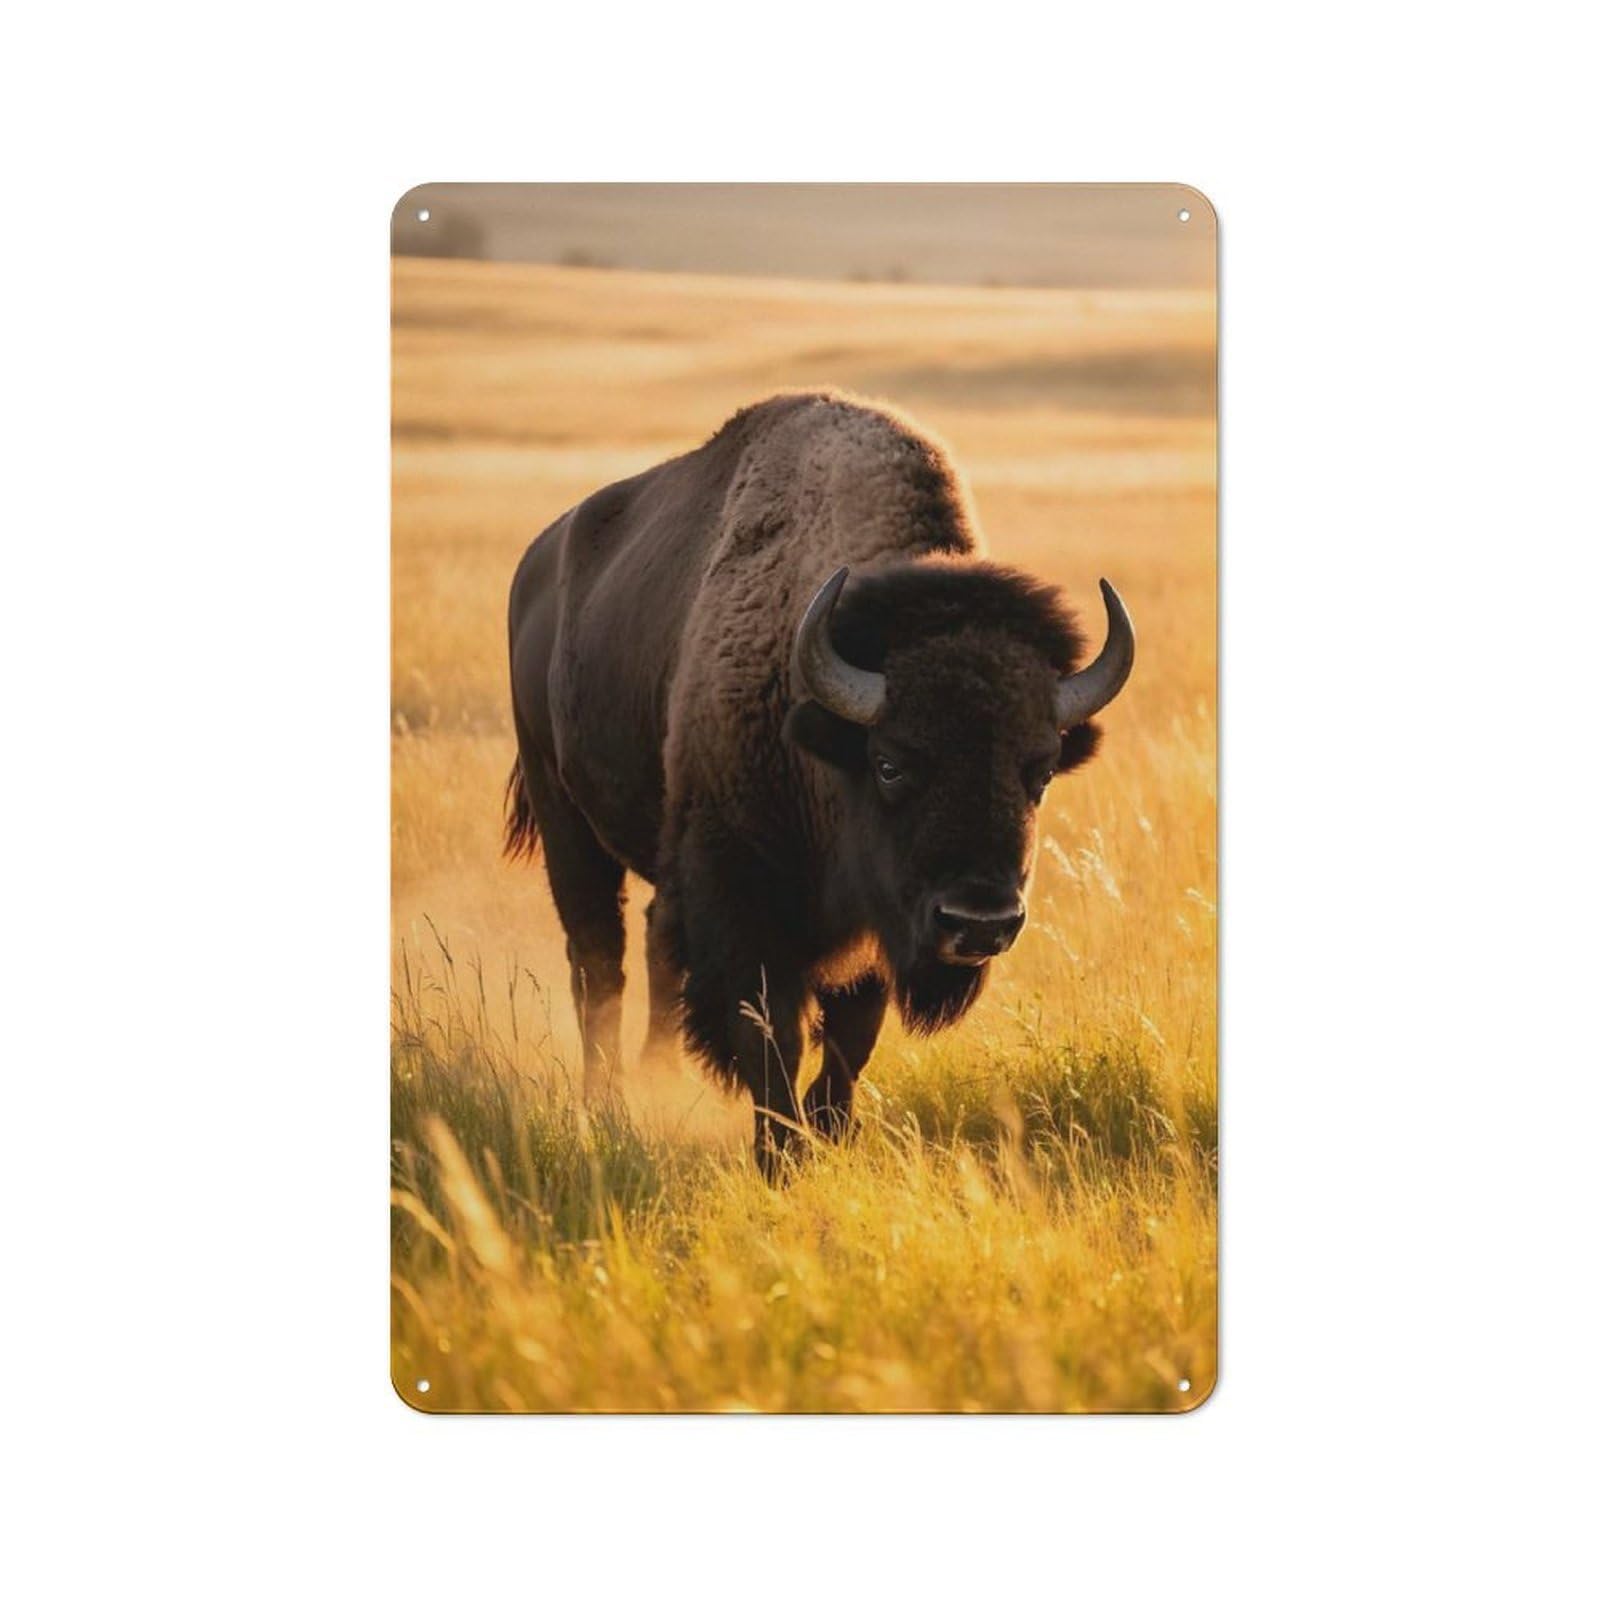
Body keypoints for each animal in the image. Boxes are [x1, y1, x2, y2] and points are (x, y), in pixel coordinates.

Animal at [506, 391, 1134, 1175]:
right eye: (891, 762)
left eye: (1041, 769)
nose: (979, 922)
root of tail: (537, 564)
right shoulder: (744, 898)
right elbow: (771, 1033)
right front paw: (778, 1154)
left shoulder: (876, 927)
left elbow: (850, 1040)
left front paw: (824, 1136)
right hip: (563, 815)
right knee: (598, 963)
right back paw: (607, 1106)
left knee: (648, 947)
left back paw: (659, 1078)